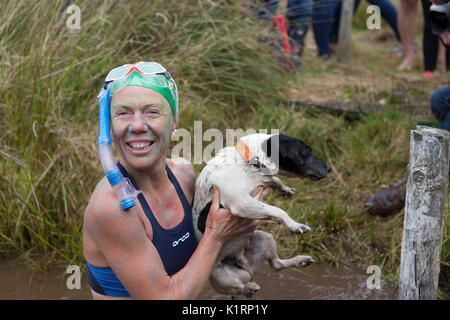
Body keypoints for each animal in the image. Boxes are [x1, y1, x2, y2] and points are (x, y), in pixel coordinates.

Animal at [191, 132, 330, 298]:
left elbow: (275, 180)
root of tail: (246, 267)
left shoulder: (261, 182)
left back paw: (301, 261)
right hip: (221, 276)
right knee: (239, 288)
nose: (329, 168)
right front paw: (295, 225)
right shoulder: (241, 203)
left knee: (276, 265)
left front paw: (285, 189)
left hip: (265, 237)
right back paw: (248, 288)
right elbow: (278, 210)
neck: (248, 162)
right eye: (307, 153)